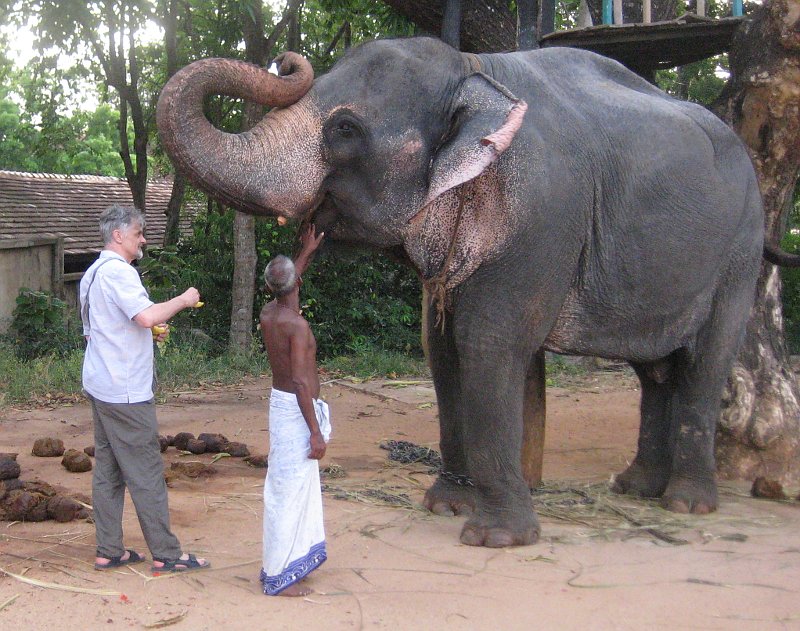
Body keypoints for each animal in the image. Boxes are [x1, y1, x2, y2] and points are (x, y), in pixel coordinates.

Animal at [158, 37, 768, 548]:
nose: (287, 62)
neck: (473, 69)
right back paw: (636, 489)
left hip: (742, 248)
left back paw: (687, 504)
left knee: (706, 360)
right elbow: (441, 350)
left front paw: (496, 538)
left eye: (346, 130)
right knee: (655, 369)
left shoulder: (543, 220)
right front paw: (445, 507)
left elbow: (487, 346)